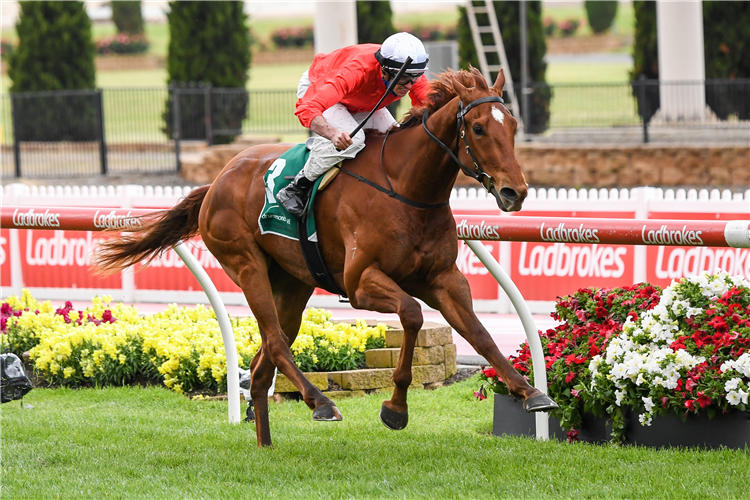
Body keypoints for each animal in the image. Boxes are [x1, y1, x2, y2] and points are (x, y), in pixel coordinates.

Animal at [97, 68, 560, 448]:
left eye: (512, 126)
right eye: (478, 128)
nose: (514, 192)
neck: (407, 189)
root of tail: (217, 181)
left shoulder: (444, 279)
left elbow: (480, 335)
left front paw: (530, 391)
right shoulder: (360, 283)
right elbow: (412, 315)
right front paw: (395, 409)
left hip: (293, 284)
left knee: (263, 361)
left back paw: (266, 444)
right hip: (245, 264)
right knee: (276, 343)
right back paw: (320, 402)